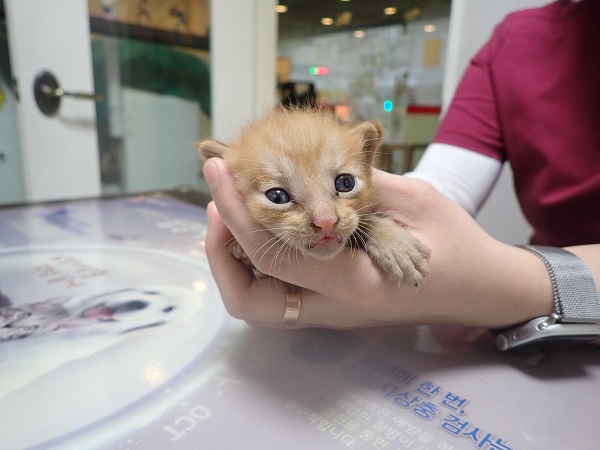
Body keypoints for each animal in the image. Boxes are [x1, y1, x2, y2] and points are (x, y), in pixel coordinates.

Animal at [199, 107, 428, 286]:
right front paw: (241, 250)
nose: (326, 221)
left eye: (345, 183)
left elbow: (365, 219)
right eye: (277, 196)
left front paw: (396, 244)